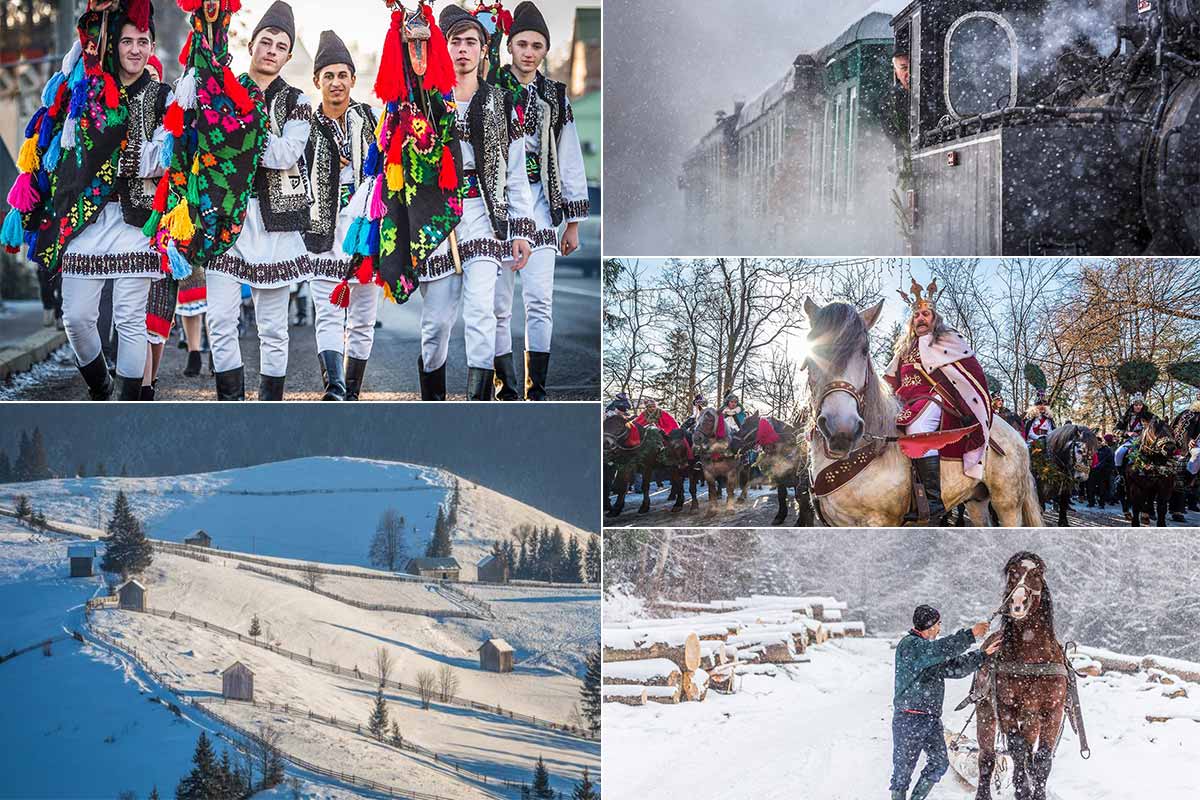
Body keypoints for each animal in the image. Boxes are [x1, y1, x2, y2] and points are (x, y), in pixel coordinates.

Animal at [801, 297, 1046, 527]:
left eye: (864, 350)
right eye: (813, 349)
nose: (842, 430)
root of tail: (1016, 438)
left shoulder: (882, 521)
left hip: (1008, 505)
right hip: (977, 501)